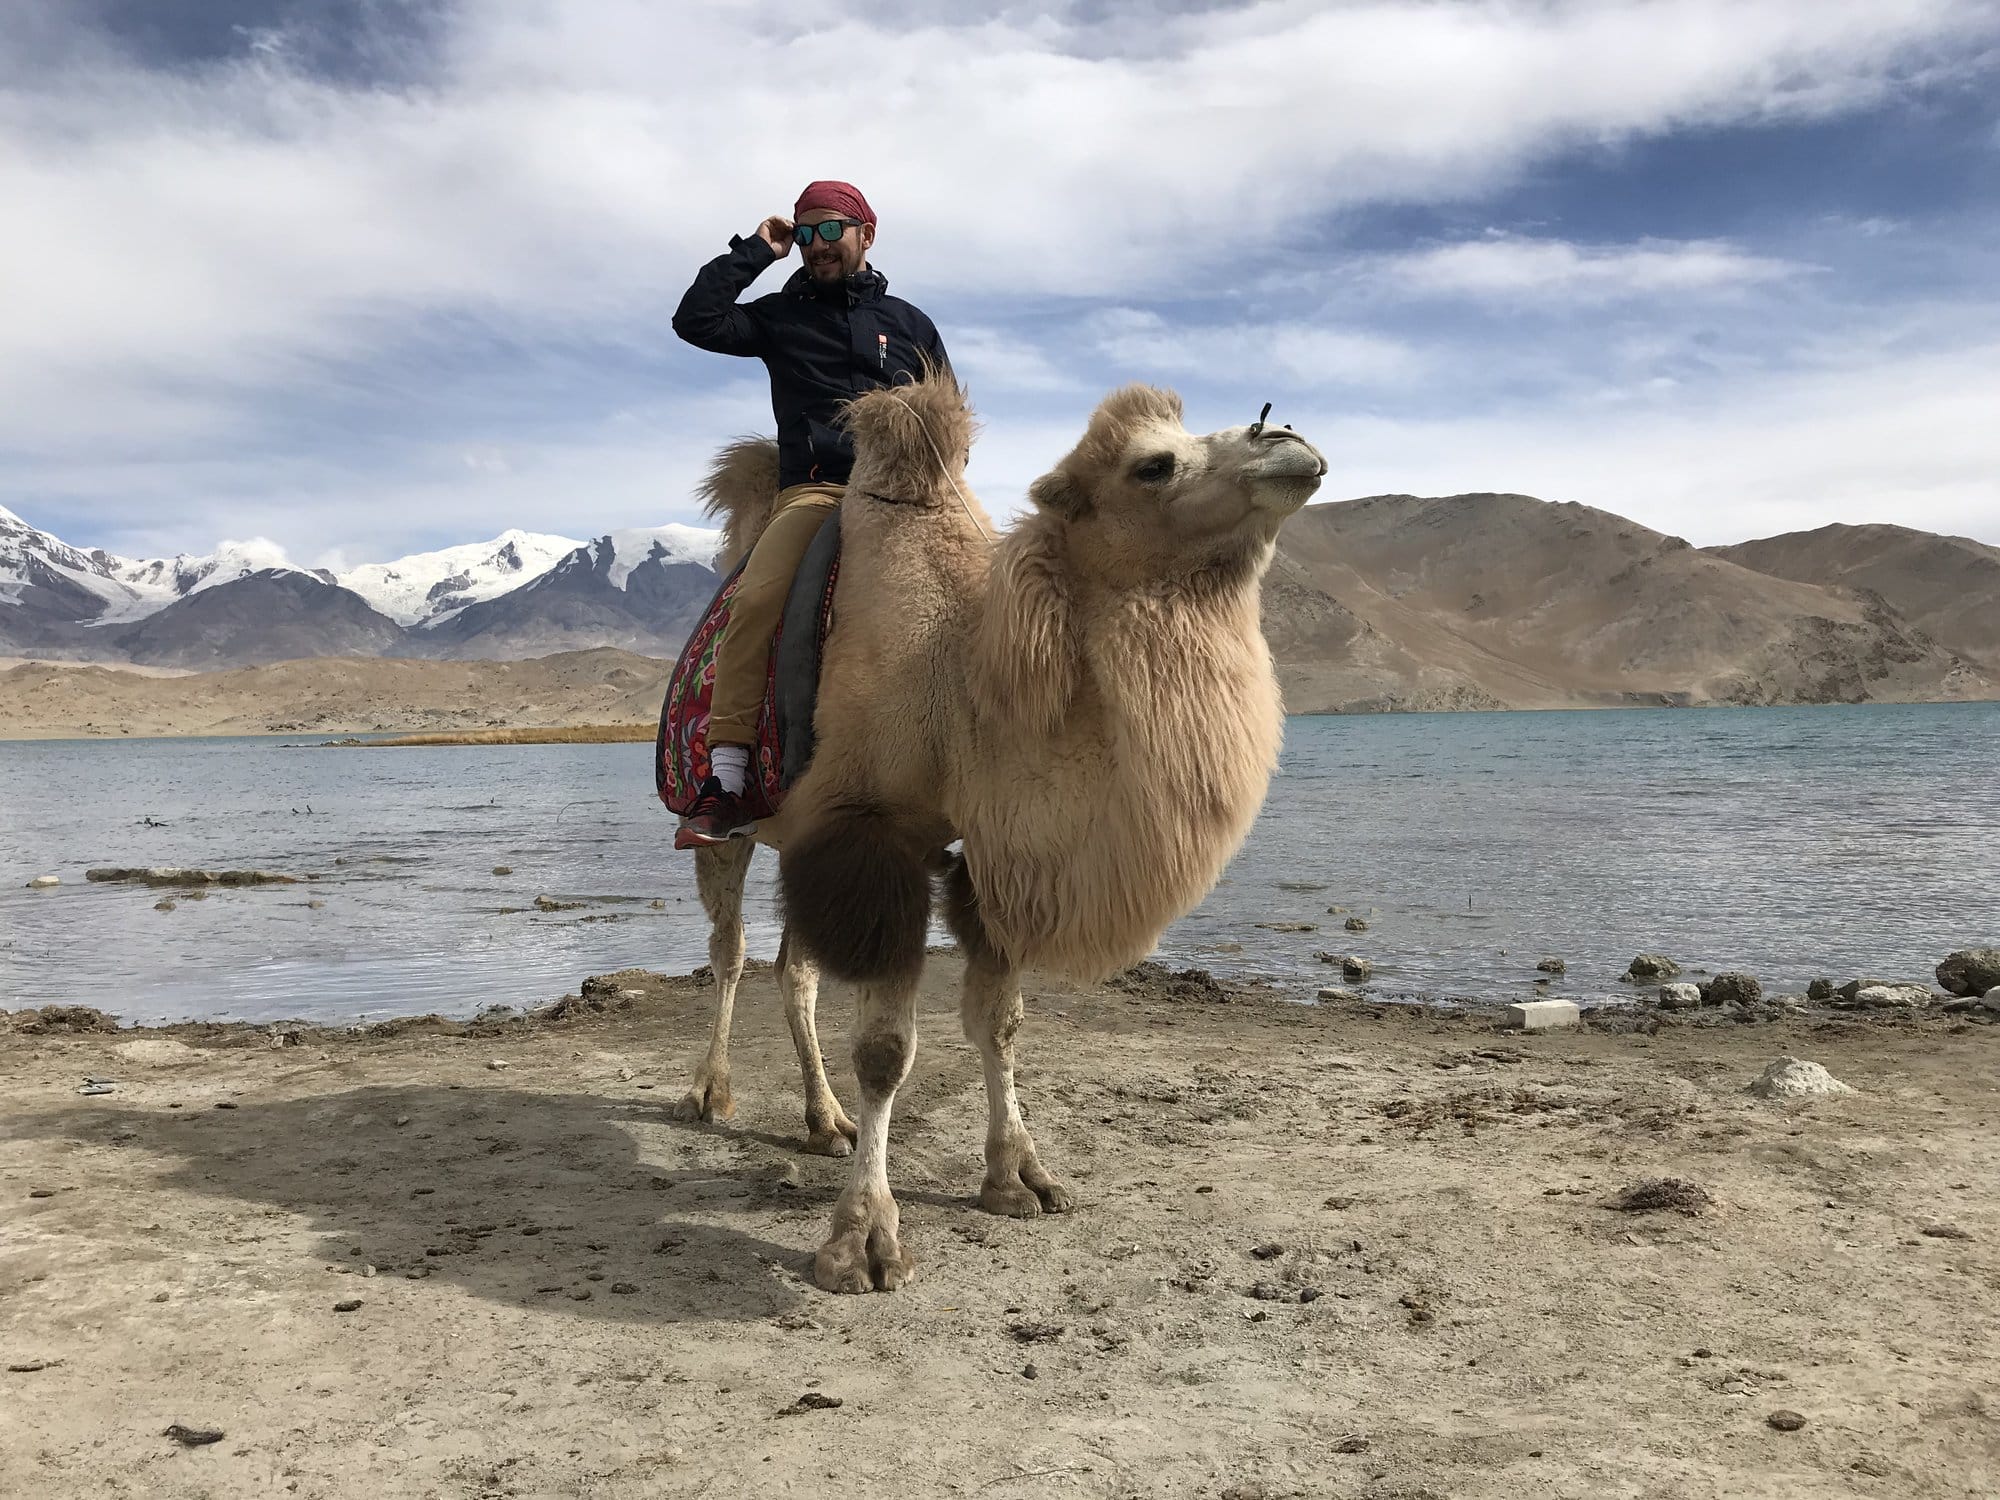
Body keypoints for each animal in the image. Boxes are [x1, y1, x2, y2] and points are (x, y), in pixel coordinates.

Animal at [672, 374, 1324, 1292]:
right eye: (1152, 465)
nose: (1290, 440)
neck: (963, 676)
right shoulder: (875, 835)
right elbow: (886, 1050)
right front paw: (862, 1242)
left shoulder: (986, 853)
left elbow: (1000, 1021)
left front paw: (1019, 1176)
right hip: (725, 828)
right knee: (728, 951)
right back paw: (710, 1093)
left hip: (803, 838)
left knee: (792, 972)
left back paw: (824, 1120)